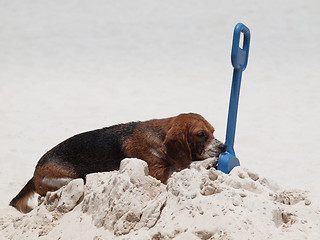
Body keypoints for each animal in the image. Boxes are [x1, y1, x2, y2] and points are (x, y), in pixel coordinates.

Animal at [9, 113, 225, 213]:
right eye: (201, 134)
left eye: (213, 131)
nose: (223, 147)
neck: (160, 135)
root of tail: (34, 174)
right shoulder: (158, 173)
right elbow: (186, 165)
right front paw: (207, 162)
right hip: (72, 180)